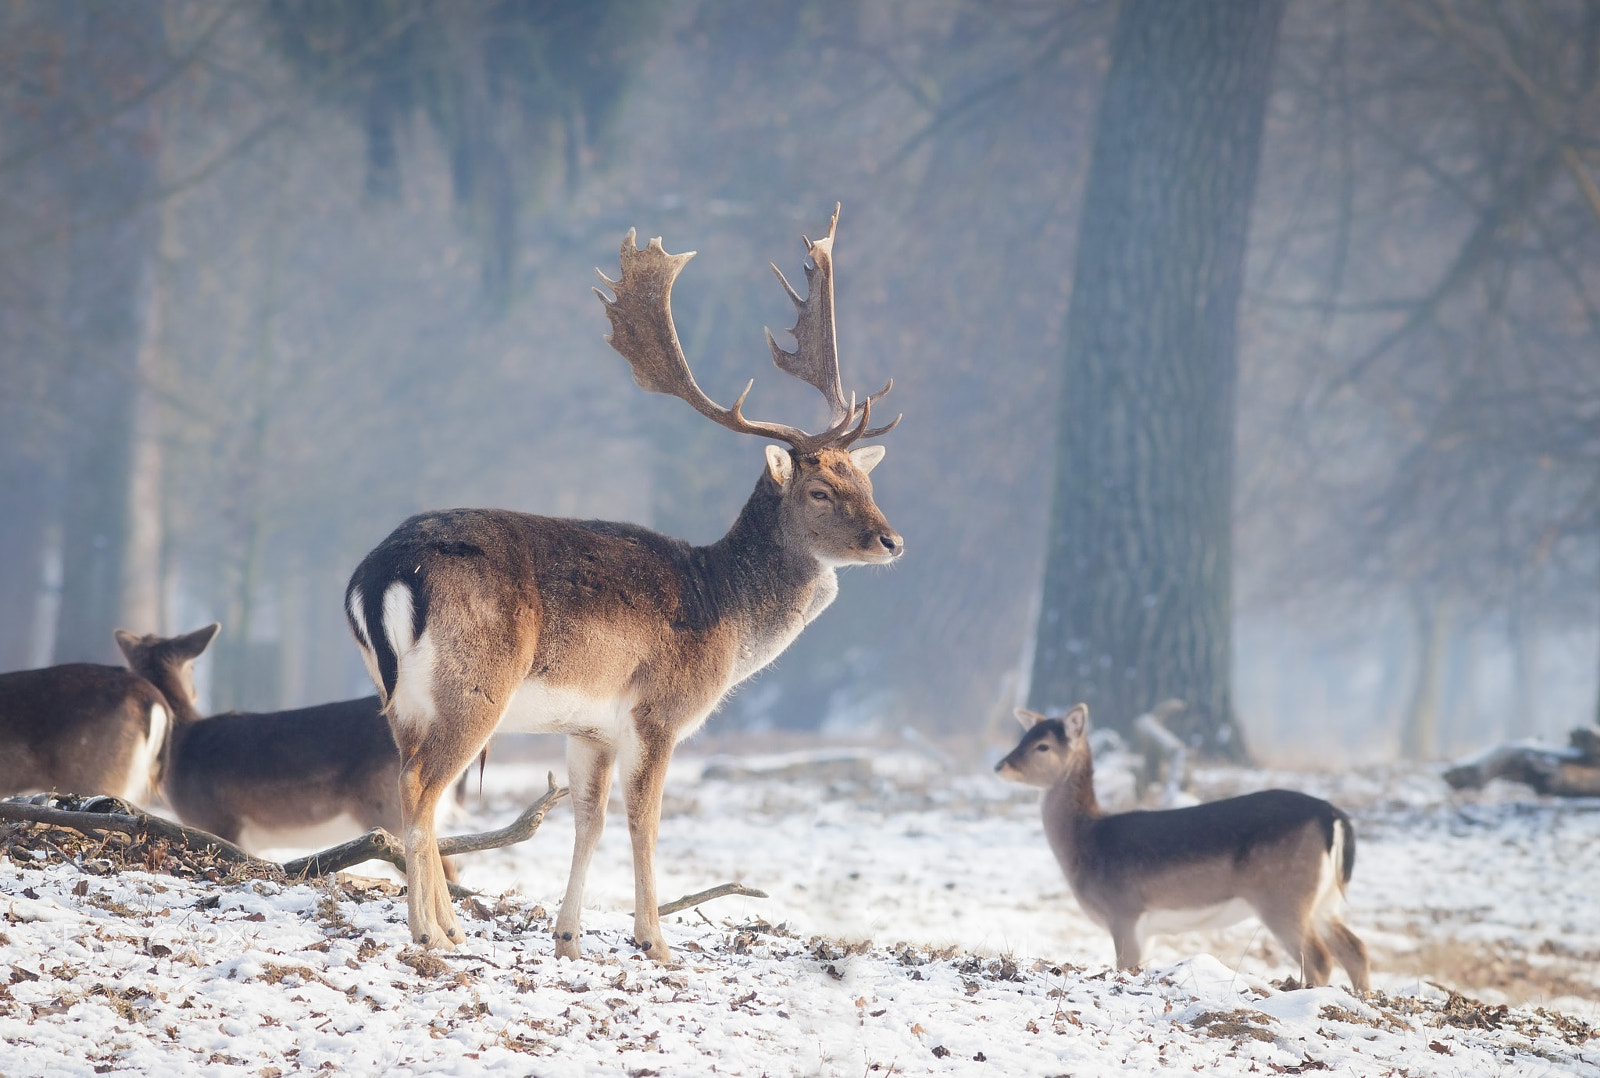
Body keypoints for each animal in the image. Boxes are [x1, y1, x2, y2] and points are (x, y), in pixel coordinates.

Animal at [345, 206, 902, 953]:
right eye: (819, 489)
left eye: (865, 481)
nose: (892, 540)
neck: (725, 606)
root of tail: (380, 573)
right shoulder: (658, 710)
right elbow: (646, 822)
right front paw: (655, 942)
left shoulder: (592, 729)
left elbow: (590, 821)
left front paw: (569, 936)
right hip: (473, 686)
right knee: (420, 790)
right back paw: (431, 932)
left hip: (400, 700)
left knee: (414, 787)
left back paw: (451, 926)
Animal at [992, 700, 1369, 985]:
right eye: (1024, 736)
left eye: (1043, 746)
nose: (1000, 766)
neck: (1087, 842)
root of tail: (1332, 815)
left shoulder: (1124, 910)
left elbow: (1124, 965)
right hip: (1324, 900)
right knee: (1356, 949)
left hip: (1283, 895)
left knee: (1320, 959)